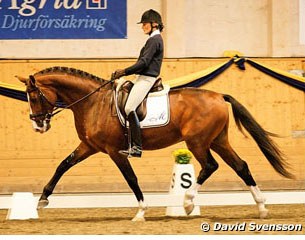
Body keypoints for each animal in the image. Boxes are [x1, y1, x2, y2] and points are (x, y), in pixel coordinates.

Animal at [17, 66, 292, 221]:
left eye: (33, 96)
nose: (38, 126)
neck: (93, 102)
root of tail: (218, 96)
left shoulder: (114, 151)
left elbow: (131, 179)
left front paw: (141, 212)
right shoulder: (90, 146)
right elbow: (63, 165)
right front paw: (42, 200)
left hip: (197, 142)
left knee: (210, 166)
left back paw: (188, 203)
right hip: (217, 140)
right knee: (240, 166)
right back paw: (262, 208)